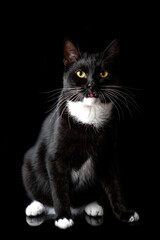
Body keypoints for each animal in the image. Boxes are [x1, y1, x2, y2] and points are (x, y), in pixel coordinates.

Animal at [21, 39, 139, 229]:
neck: (89, 118)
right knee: (40, 192)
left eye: (103, 73)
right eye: (80, 73)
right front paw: (63, 217)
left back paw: (92, 207)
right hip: (29, 164)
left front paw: (125, 213)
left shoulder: (108, 155)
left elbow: (115, 186)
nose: (91, 85)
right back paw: (35, 207)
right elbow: (59, 188)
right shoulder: (56, 156)